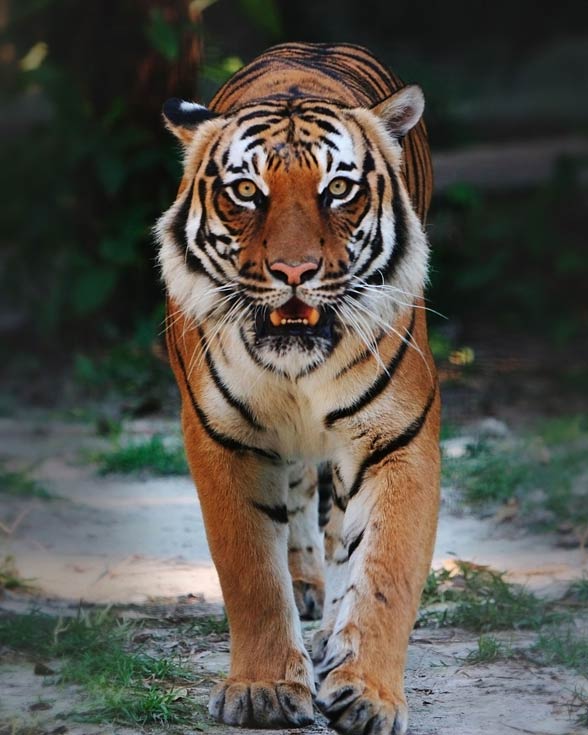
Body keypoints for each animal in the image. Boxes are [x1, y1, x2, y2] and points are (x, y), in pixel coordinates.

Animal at [156, 41, 436, 735]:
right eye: (246, 192)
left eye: (338, 189)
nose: (293, 271)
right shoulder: (224, 437)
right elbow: (251, 574)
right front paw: (263, 690)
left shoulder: (398, 438)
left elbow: (385, 570)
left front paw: (368, 693)